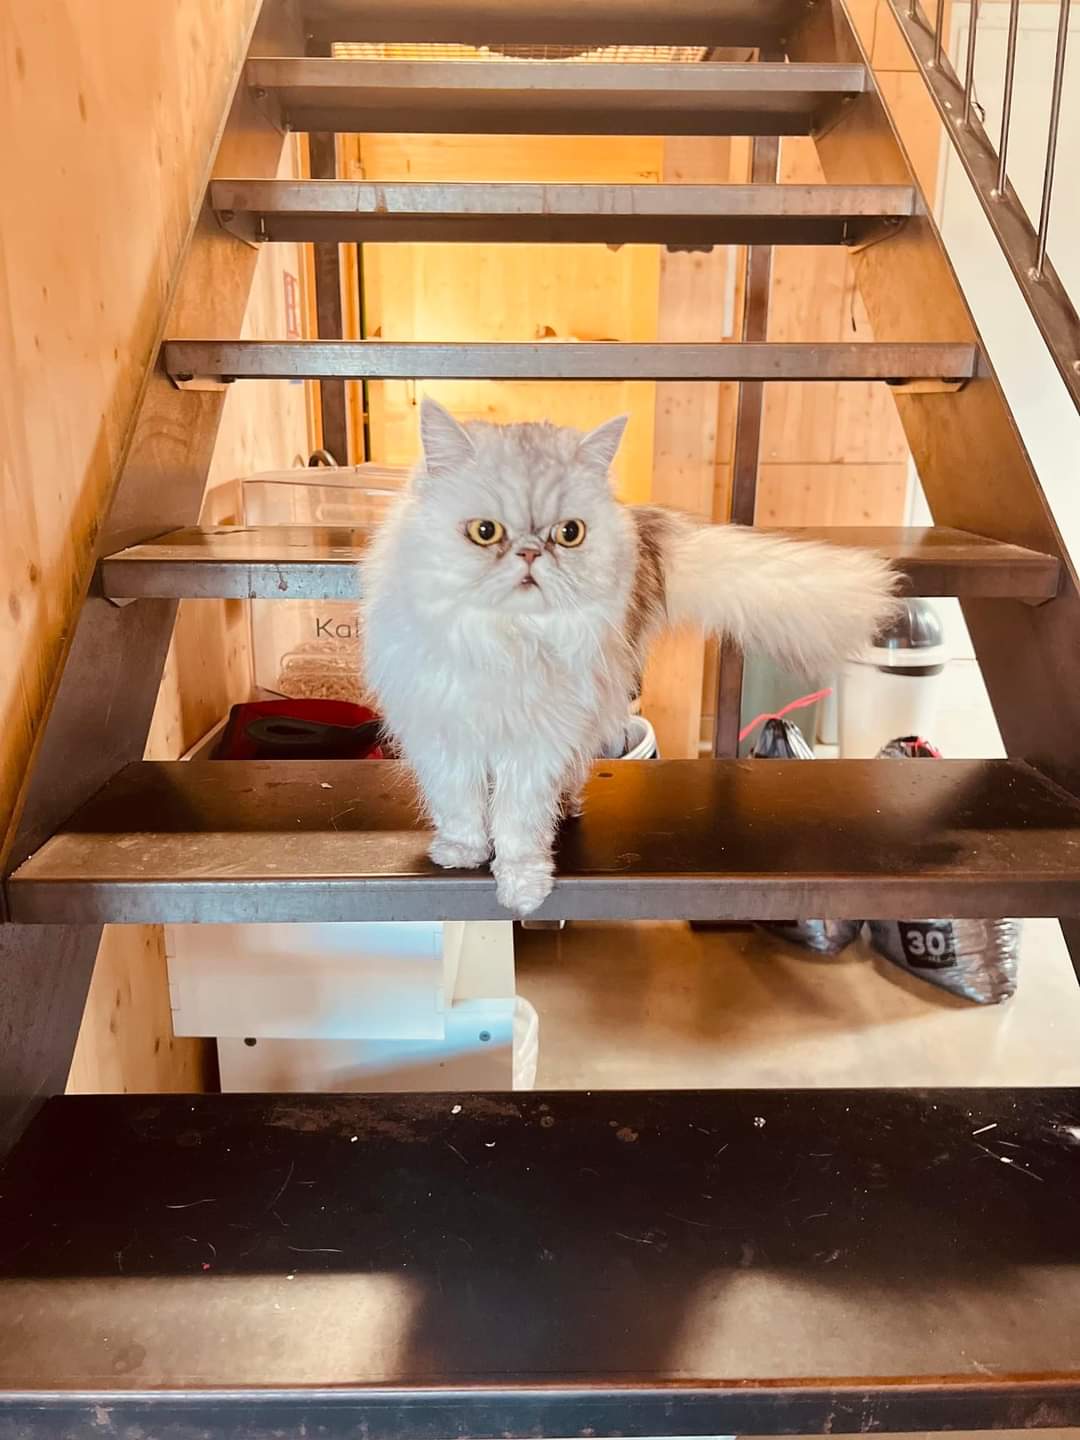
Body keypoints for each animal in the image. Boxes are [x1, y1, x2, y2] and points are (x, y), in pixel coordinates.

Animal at [362, 397, 898, 916]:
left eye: (570, 534)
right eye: (485, 531)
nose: (532, 554)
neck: (506, 639)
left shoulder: (537, 745)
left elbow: (518, 822)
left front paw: (523, 887)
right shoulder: (442, 736)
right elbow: (460, 805)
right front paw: (462, 853)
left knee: (568, 775)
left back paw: (566, 807)